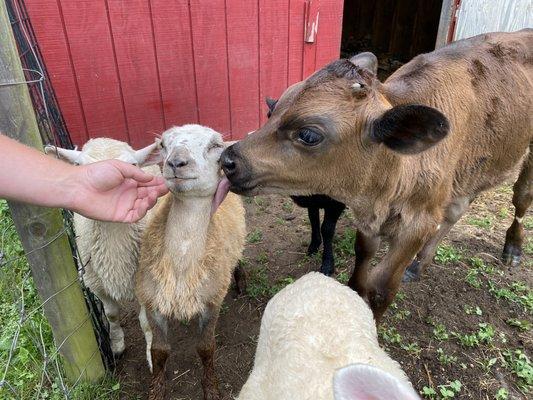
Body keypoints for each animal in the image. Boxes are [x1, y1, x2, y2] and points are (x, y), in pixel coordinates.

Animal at [45, 138, 160, 356]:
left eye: (132, 166)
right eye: (79, 166)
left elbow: (146, 322)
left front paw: (151, 353)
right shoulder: (96, 284)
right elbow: (111, 314)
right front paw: (117, 344)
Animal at [221, 29, 532, 320]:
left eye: (309, 135)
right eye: (271, 111)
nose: (228, 159)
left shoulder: (418, 222)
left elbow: (383, 288)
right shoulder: (368, 217)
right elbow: (359, 271)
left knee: (521, 198)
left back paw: (513, 249)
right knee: (457, 209)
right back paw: (420, 264)